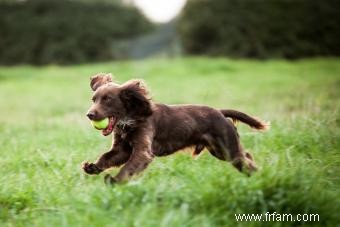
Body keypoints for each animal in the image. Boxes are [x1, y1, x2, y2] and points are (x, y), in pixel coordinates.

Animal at [82, 73, 268, 184]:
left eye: (108, 99)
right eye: (94, 99)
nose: (89, 114)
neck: (131, 118)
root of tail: (220, 112)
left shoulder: (143, 151)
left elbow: (128, 167)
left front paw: (115, 181)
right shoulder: (122, 149)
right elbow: (106, 157)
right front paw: (93, 167)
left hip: (227, 148)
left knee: (245, 159)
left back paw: (259, 177)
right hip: (220, 151)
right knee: (246, 156)